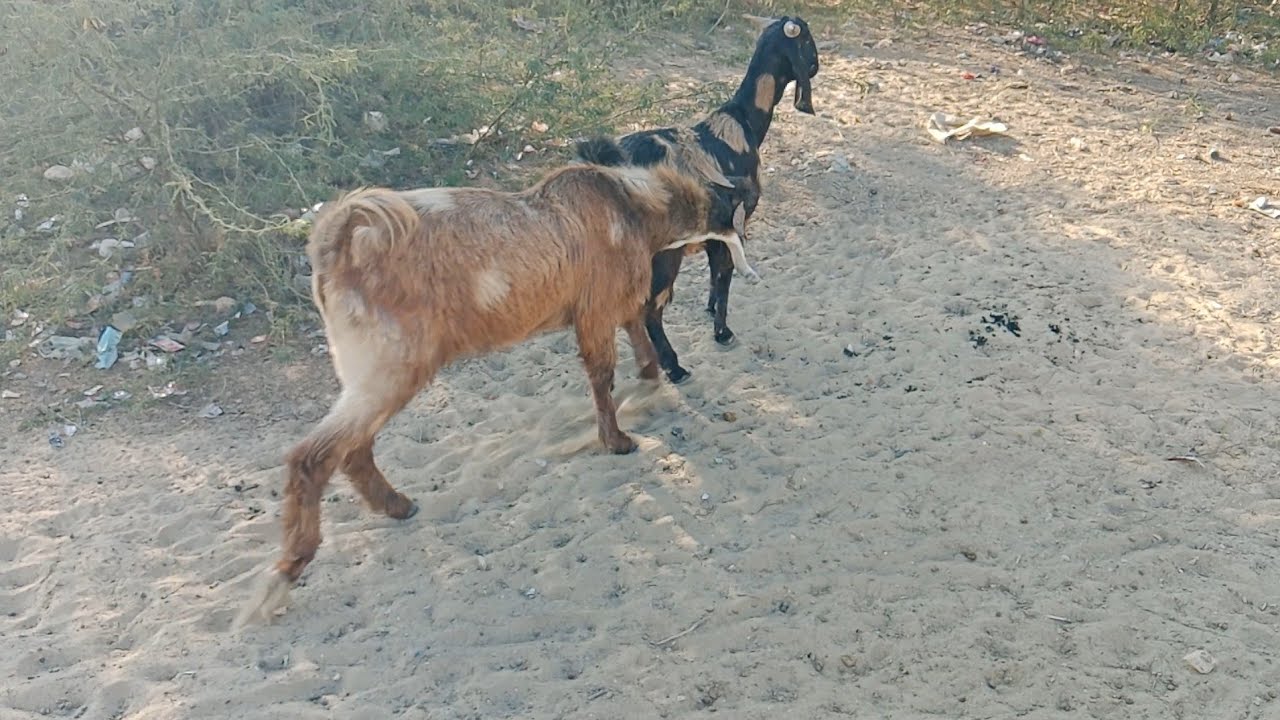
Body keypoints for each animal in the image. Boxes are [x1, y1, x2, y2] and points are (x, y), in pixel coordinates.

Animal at [238, 151, 755, 624]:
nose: (742, 262)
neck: (630, 204)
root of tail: (338, 242)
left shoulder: (615, 306)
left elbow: (643, 356)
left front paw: (641, 394)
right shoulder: (596, 310)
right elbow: (603, 373)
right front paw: (616, 439)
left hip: (365, 369)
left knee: (353, 447)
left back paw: (397, 506)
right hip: (391, 364)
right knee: (313, 454)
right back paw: (284, 577)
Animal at [577, 14, 820, 384]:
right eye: (806, 40)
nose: (817, 65)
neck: (742, 122)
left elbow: (716, 274)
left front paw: (709, 310)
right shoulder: (734, 222)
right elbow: (725, 275)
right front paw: (723, 332)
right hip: (664, 254)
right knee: (650, 308)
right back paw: (674, 367)